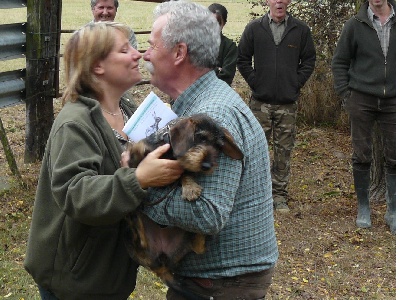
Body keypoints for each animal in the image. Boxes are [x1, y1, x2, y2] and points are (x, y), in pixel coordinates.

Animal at [124, 114, 244, 288]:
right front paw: (137, 148)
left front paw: (190, 187)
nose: (207, 165)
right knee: (138, 237)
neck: (170, 154)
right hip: (131, 241)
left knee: (198, 247)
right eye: (201, 137)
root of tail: (161, 266)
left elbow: (184, 172)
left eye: (218, 146)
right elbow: (139, 153)